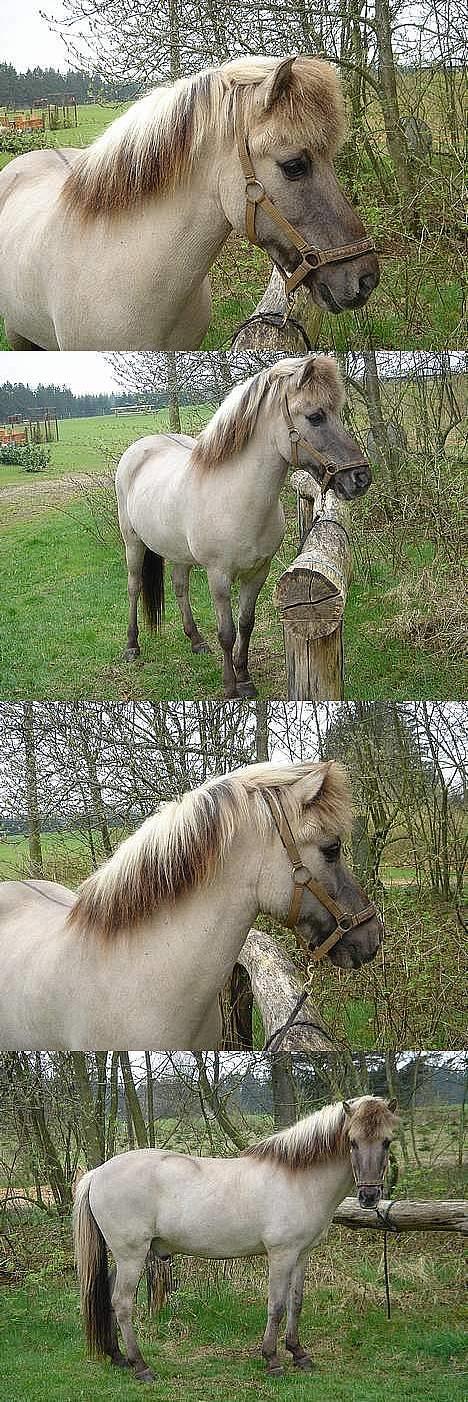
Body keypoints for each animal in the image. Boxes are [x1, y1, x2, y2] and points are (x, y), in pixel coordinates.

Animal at [73, 1093, 397, 1379]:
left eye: (387, 1141)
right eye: (352, 1141)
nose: (369, 1196)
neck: (298, 1178)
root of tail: (98, 1173)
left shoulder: (301, 1254)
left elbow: (295, 1302)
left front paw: (298, 1353)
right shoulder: (281, 1254)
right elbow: (276, 1306)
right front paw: (272, 1360)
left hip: (125, 1256)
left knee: (111, 1297)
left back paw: (118, 1357)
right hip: (132, 1255)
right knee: (123, 1302)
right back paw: (140, 1366)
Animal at [114, 356, 369, 695]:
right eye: (315, 417)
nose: (361, 478)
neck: (237, 497)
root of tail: (141, 447)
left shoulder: (257, 573)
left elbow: (246, 624)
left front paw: (245, 679)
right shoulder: (218, 576)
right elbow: (227, 632)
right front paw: (230, 687)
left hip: (180, 553)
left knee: (180, 586)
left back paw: (196, 640)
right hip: (133, 544)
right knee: (133, 587)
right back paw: (132, 645)